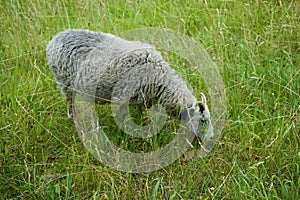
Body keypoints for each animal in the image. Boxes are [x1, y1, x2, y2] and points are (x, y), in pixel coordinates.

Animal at [45, 28, 212, 138]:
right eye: (203, 121)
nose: (210, 139)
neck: (159, 77)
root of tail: (55, 38)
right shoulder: (121, 98)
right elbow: (124, 120)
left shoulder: (143, 98)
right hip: (64, 83)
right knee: (70, 103)